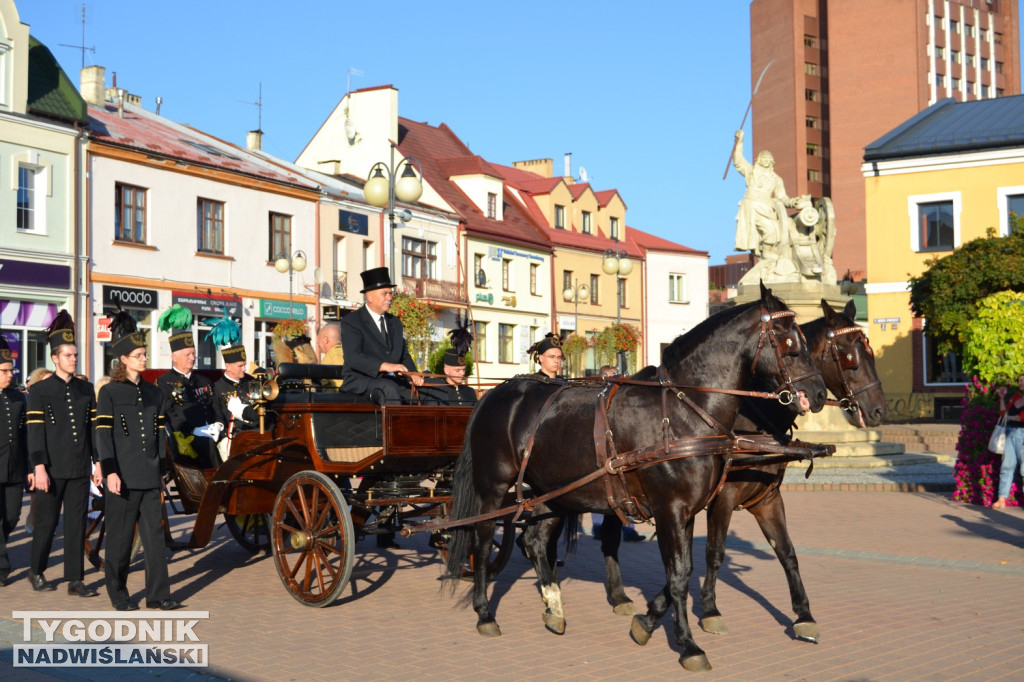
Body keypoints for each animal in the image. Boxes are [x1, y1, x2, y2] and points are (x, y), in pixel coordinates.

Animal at [444, 282, 827, 667]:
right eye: (789, 342)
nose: (819, 393)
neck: (683, 413)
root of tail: (494, 394)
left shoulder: (689, 511)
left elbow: (687, 569)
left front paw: (648, 622)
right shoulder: (670, 509)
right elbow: (678, 575)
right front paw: (688, 644)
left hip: (550, 493)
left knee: (535, 541)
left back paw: (553, 608)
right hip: (493, 489)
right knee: (481, 539)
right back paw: (484, 612)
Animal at [598, 296, 884, 643]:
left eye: (870, 351)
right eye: (850, 356)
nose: (879, 410)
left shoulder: (766, 498)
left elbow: (786, 551)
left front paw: (803, 614)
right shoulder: (722, 498)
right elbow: (713, 552)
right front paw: (708, 610)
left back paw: (617, 595)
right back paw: (615, 595)